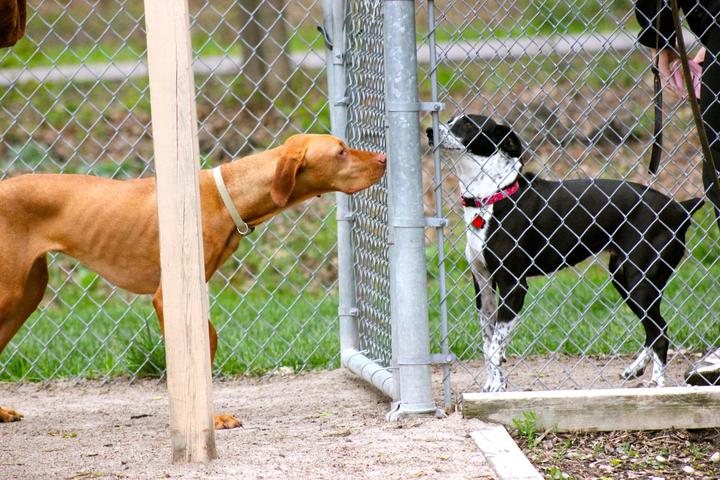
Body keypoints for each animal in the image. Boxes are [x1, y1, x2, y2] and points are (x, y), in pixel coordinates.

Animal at [0, 134, 388, 428]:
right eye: (340, 151)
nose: (384, 157)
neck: (227, 195)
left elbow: (208, 342)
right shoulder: (166, 295)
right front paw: (208, 419)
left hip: (28, 294)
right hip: (12, 293)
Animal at [428, 114, 704, 392]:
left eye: (468, 125)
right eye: (450, 120)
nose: (430, 131)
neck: (492, 196)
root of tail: (680, 208)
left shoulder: (514, 286)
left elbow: (496, 345)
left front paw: (497, 387)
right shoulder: (483, 286)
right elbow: (488, 342)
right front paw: (493, 383)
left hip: (641, 281)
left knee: (661, 330)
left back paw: (658, 383)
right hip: (623, 278)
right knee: (653, 329)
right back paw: (635, 369)